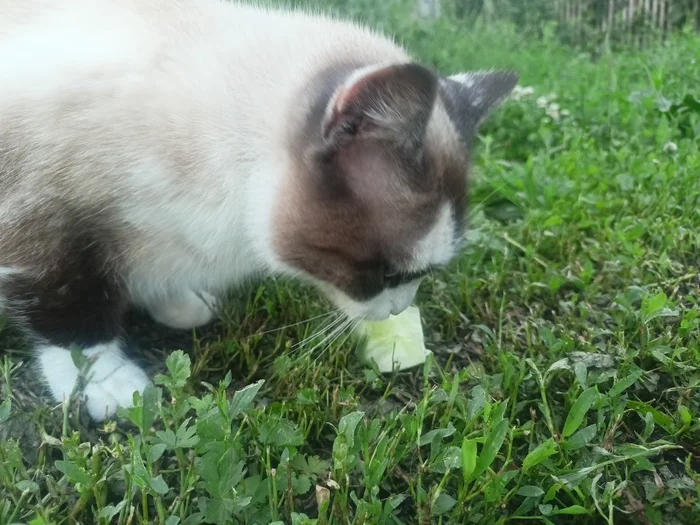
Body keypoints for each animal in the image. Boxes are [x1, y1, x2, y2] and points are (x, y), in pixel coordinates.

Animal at [0, 0, 516, 418]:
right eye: (388, 274)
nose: (399, 309)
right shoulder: (42, 225)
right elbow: (70, 306)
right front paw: (105, 384)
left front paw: (176, 302)